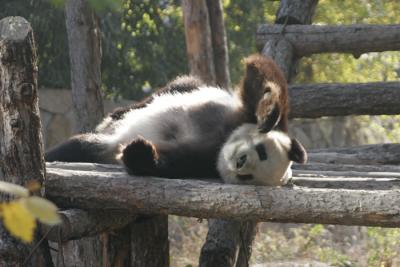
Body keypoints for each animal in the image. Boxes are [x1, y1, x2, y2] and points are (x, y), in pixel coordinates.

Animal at [45, 54, 304, 180]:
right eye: (261, 151)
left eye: (248, 177)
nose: (240, 162)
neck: (222, 141)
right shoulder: (242, 114)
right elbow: (261, 79)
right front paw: (270, 108)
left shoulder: (200, 162)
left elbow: (164, 163)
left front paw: (139, 151)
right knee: (182, 84)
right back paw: (118, 113)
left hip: (101, 147)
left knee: (77, 147)